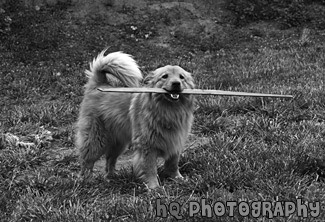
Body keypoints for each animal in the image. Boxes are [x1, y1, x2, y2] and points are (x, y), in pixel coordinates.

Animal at [74, 49, 194, 189]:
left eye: (181, 77)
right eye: (165, 76)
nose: (176, 83)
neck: (168, 110)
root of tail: (98, 84)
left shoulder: (175, 141)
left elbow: (173, 164)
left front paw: (178, 178)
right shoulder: (147, 146)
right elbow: (150, 168)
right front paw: (154, 187)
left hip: (118, 142)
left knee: (110, 159)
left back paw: (111, 177)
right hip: (96, 139)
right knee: (87, 160)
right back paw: (86, 180)